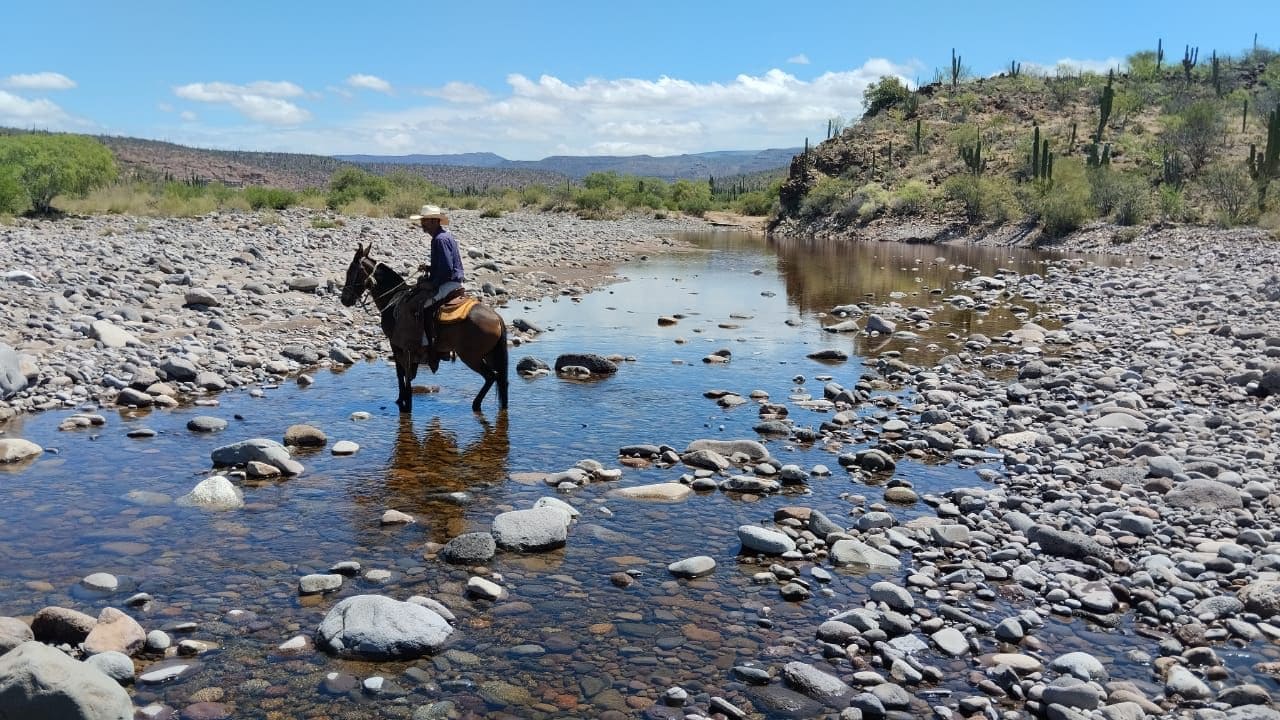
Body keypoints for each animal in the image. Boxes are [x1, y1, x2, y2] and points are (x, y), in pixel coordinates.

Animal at [340, 242, 509, 412]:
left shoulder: (398, 345)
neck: (393, 300)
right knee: (499, 378)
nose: (344, 300)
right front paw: (401, 399)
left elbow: (402, 374)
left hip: (470, 356)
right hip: (490, 354)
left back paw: (476, 404)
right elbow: (403, 374)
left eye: (351, 271)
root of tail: (497, 318)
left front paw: (404, 402)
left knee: (491, 376)